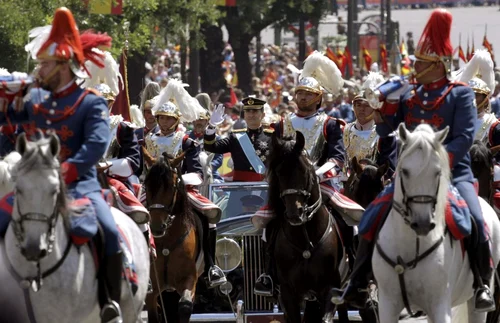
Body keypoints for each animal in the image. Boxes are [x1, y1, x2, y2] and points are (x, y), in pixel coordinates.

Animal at [143, 156, 201, 322]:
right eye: (146, 186)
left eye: (171, 187)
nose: (156, 226)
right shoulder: (152, 287)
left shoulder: (189, 278)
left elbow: (185, 307)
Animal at [268, 132, 350, 323]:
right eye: (279, 172)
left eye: (304, 171)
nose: (294, 214)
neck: (305, 240)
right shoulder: (288, 293)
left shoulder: (330, 289)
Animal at [376, 123, 500, 322]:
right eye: (405, 171)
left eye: (437, 172)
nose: (422, 223)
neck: (409, 244)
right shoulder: (388, 304)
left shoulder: (440, 305)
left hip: (476, 305)